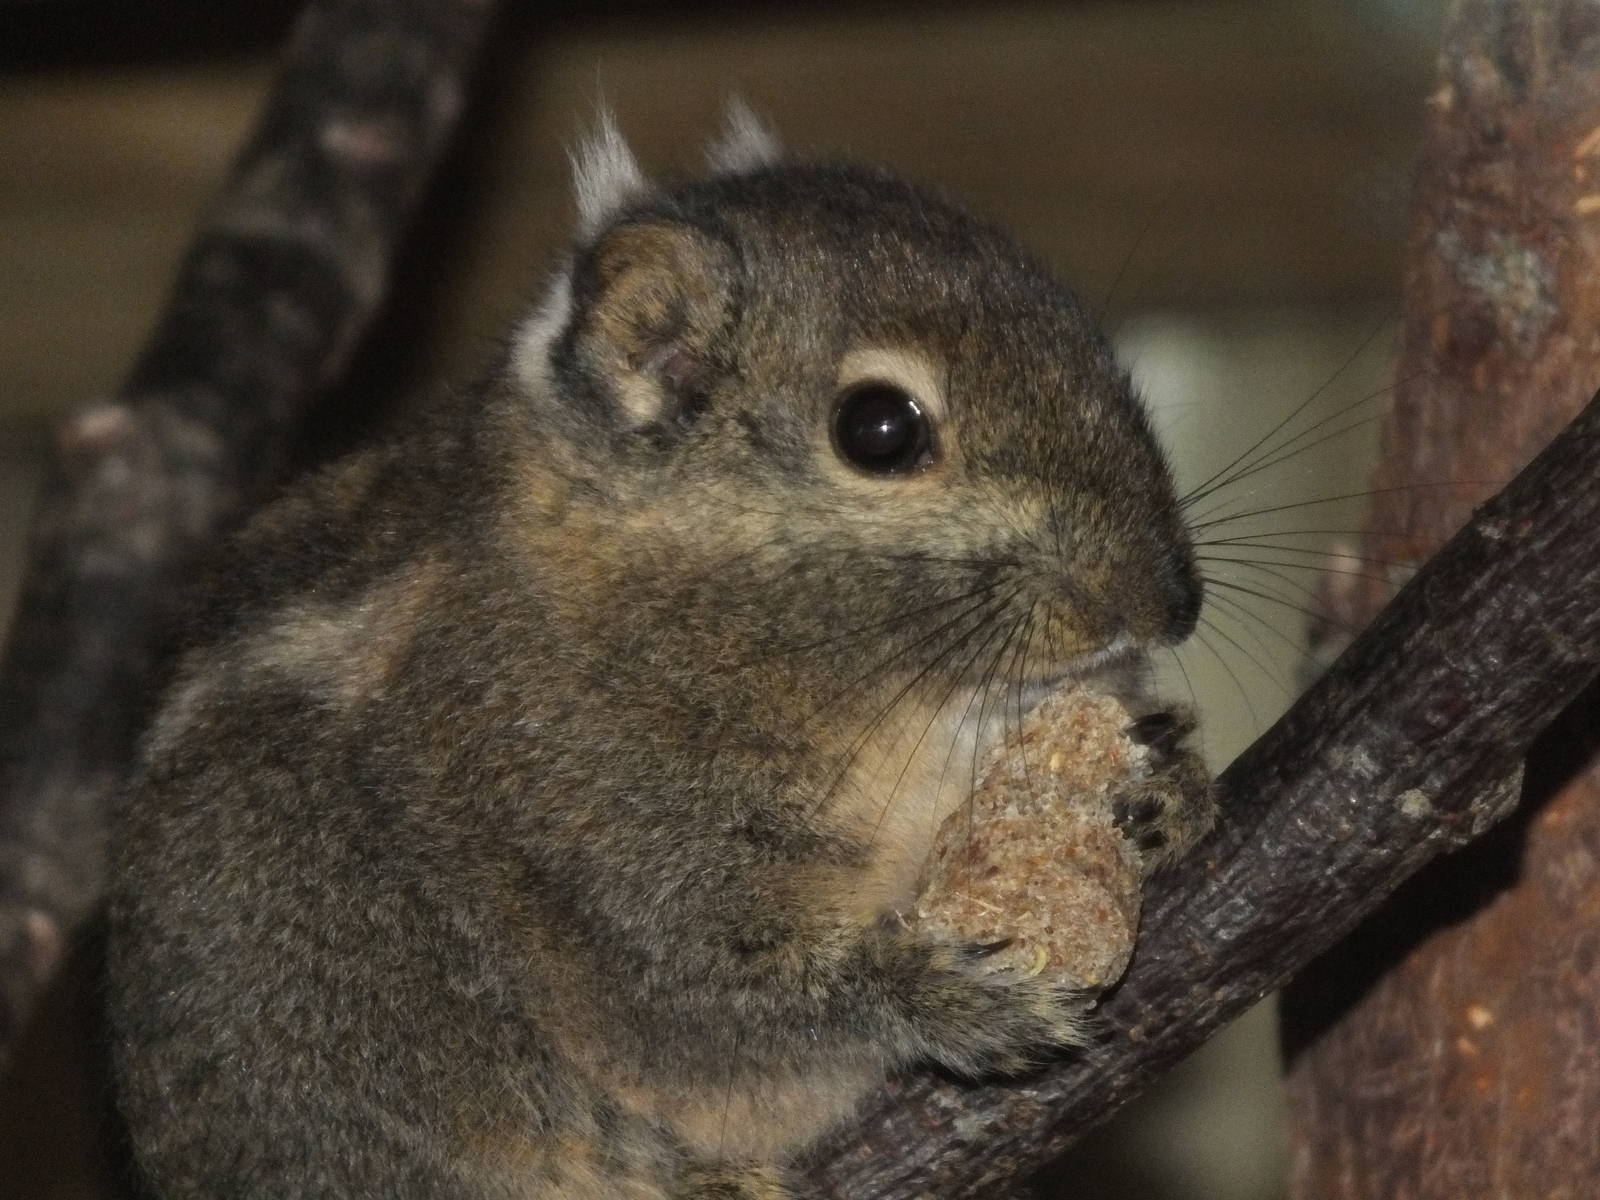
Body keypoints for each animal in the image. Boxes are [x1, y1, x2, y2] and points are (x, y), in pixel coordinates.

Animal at [106, 110, 1214, 1199]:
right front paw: (949, 998)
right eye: (879, 429)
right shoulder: (612, 866)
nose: (1168, 604)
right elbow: (745, 990)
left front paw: (1167, 786)